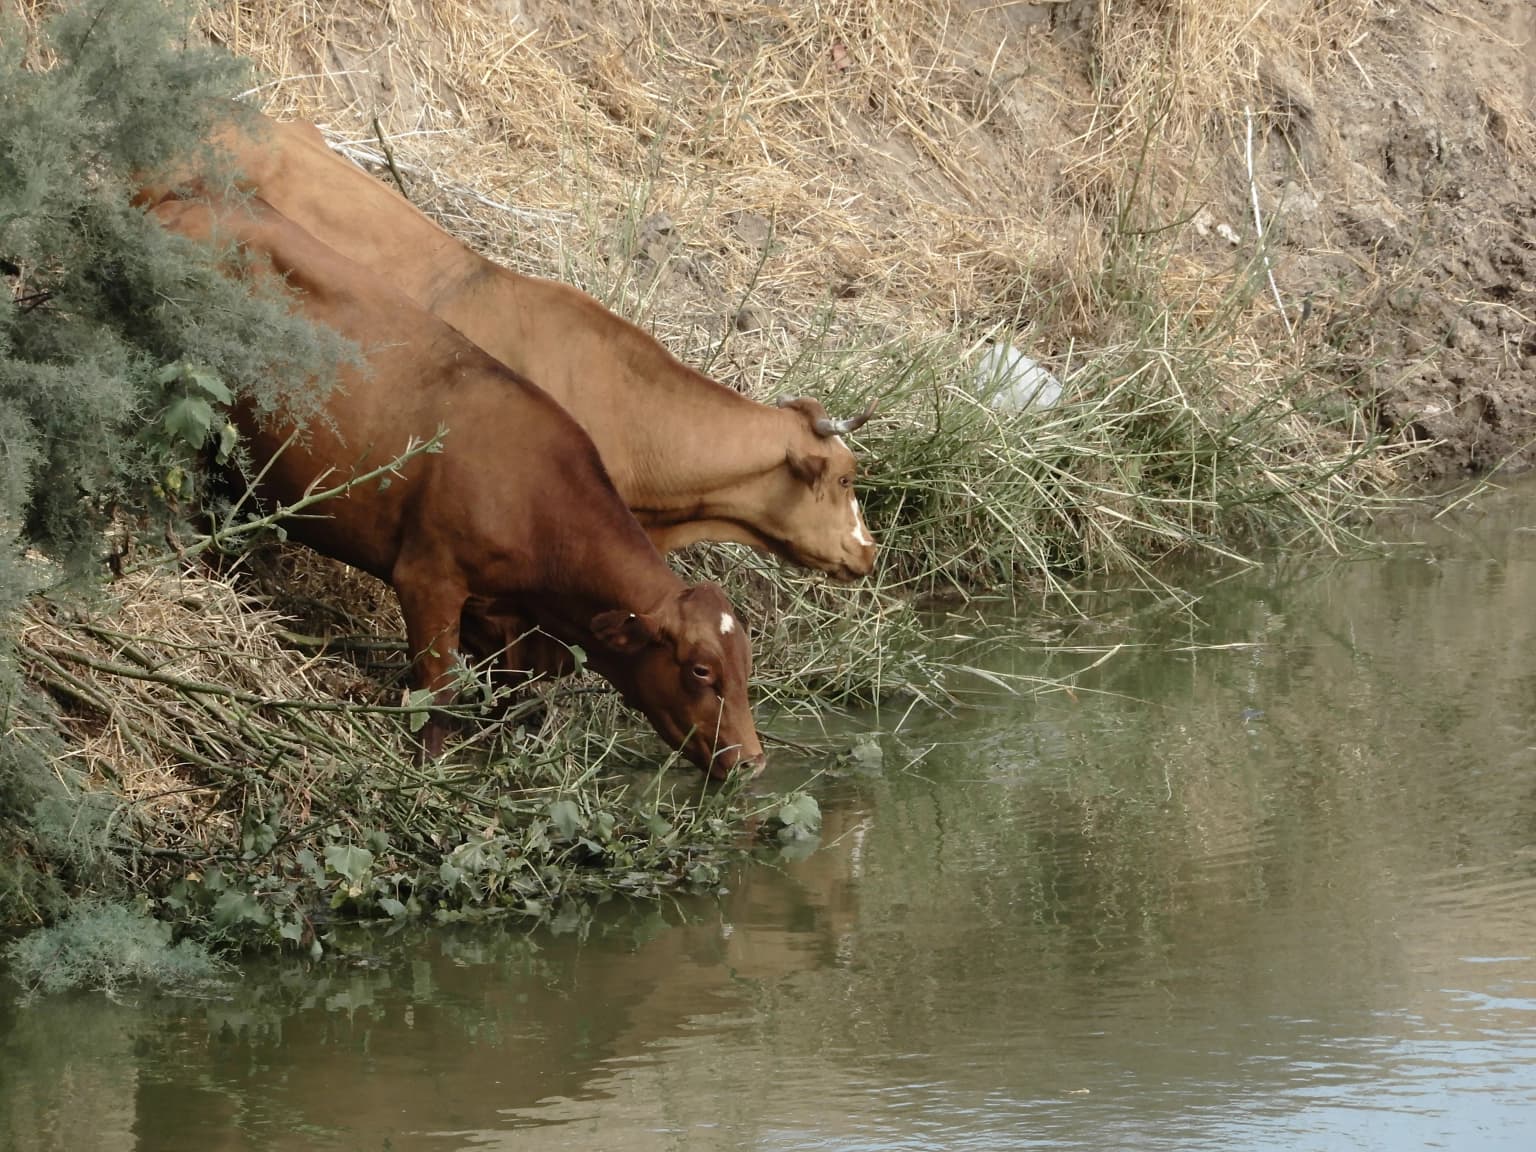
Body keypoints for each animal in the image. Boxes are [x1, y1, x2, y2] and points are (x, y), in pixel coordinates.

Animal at [150, 192, 765, 779]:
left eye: (747, 666)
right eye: (701, 669)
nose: (752, 761)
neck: (539, 504)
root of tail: (188, 204)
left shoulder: (501, 621)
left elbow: (510, 700)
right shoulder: (429, 578)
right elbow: (438, 694)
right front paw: (427, 777)